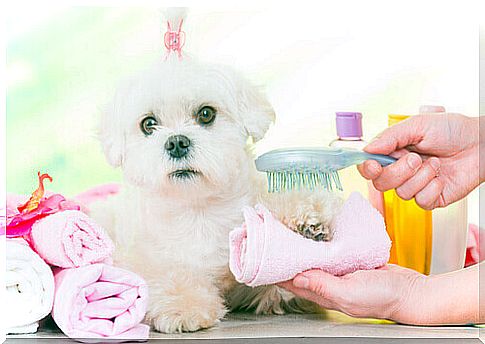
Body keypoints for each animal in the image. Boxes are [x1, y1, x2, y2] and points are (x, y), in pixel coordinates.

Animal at [90, 55, 340, 332]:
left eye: (206, 114)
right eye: (148, 124)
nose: (177, 142)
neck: (200, 210)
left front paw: (306, 217)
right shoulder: (142, 256)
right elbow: (162, 271)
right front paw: (184, 306)